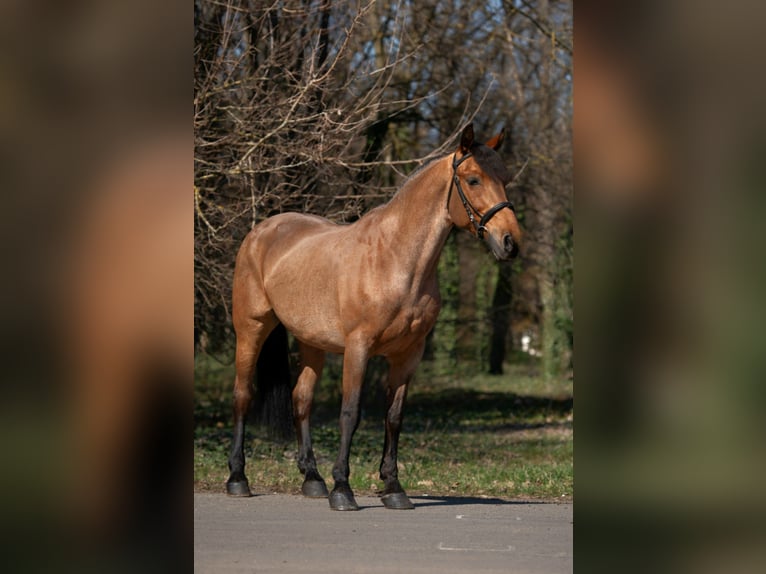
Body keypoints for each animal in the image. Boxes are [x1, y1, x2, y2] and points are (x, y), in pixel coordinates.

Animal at [226, 123, 522, 510]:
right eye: (473, 180)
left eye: (505, 178)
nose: (510, 242)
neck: (395, 259)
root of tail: (261, 231)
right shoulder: (359, 347)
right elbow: (350, 413)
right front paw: (343, 489)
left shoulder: (409, 354)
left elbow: (393, 417)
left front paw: (394, 488)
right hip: (251, 329)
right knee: (243, 395)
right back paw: (238, 478)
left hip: (311, 342)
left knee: (301, 399)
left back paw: (312, 478)